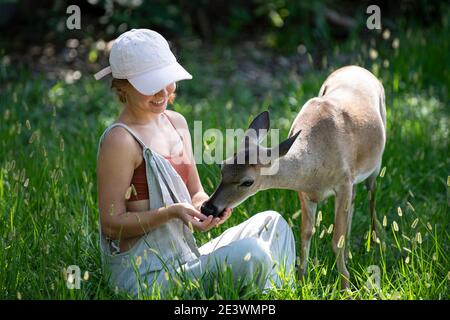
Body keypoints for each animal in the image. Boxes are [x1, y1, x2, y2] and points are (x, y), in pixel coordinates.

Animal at [201, 65, 386, 290]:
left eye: (247, 181)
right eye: (222, 167)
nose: (208, 207)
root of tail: (357, 67)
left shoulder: (343, 182)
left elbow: (336, 240)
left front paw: (346, 286)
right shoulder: (305, 192)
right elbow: (306, 233)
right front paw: (301, 281)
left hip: (375, 164)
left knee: (372, 194)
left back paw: (375, 242)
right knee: (354, 204)